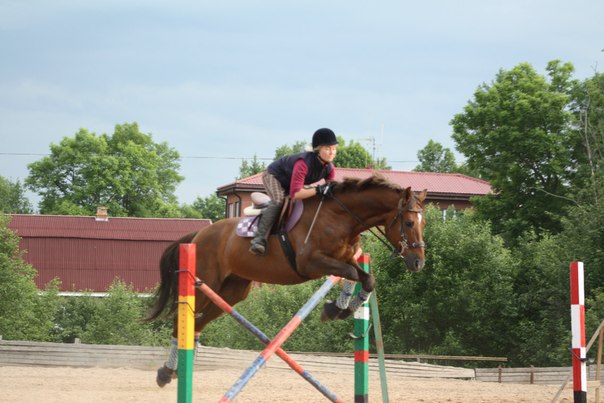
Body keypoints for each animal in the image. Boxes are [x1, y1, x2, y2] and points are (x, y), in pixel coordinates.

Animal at [147, 172, 427, 386]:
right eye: (409, 222)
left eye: (424, 223)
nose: (418, 263)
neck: (341, 217)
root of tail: (199, 234)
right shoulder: (310, 263)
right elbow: (349, 274)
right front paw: (334, 309)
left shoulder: (347, 259)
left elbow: (366, 279)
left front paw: (343, 309)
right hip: (206, 284)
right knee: (181, 320)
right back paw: (165, 372)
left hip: (232, 292)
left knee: (197, 323)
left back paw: (176, 370)